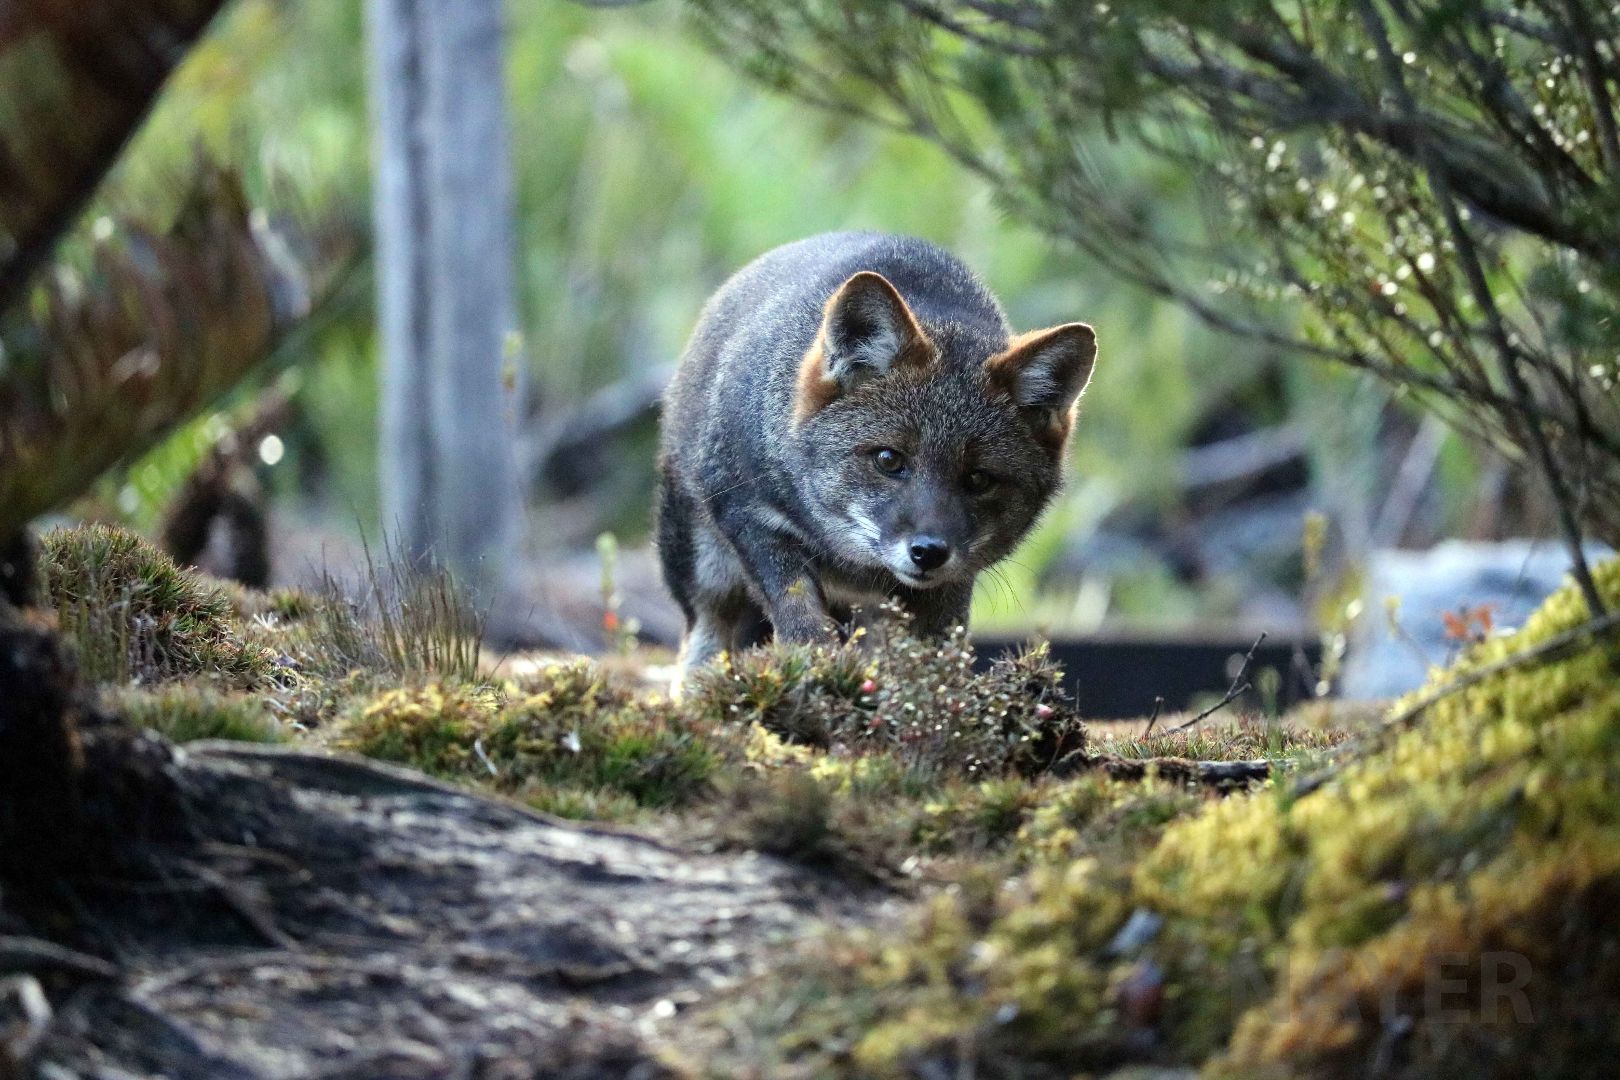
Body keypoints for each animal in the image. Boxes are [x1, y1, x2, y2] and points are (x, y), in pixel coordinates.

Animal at [655, 231, 1096, 685]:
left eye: (978, 479)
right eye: (888, 459)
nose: (928, 552)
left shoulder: (949, 584)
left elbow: (931, 655)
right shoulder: (752, 519)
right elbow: (800, 617)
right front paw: (817, 673)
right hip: (701, 565)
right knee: (703, 638)